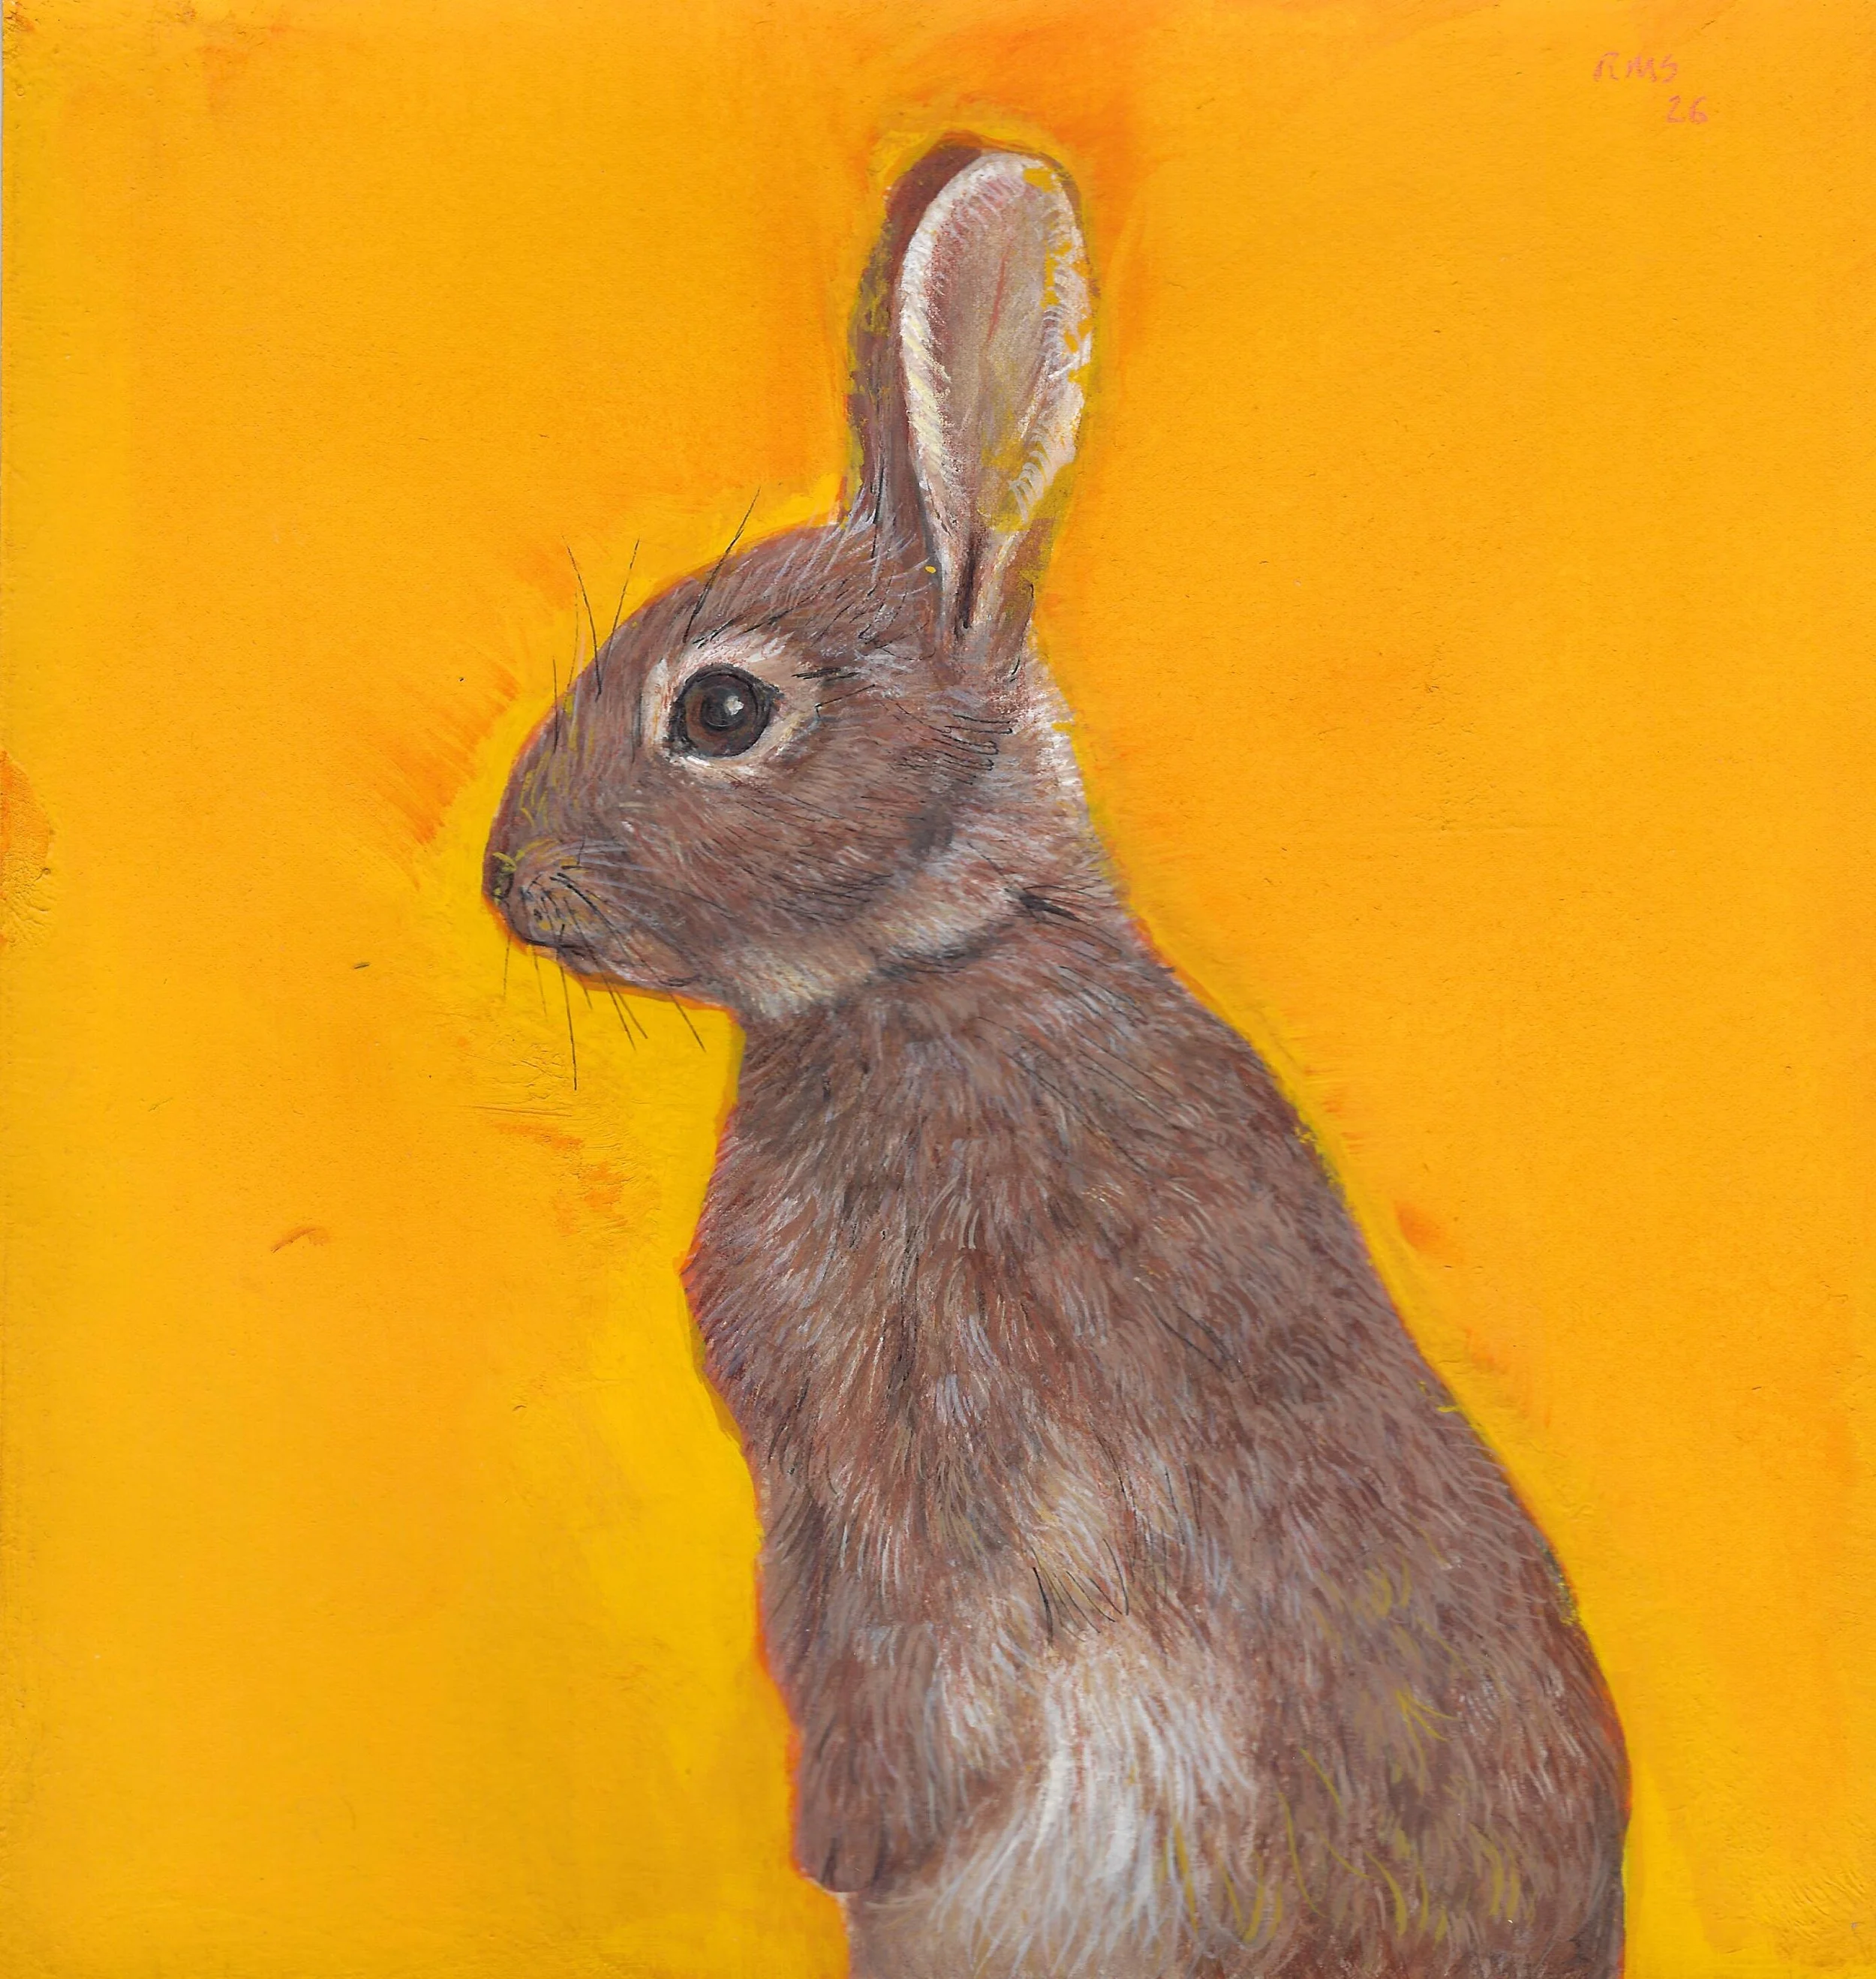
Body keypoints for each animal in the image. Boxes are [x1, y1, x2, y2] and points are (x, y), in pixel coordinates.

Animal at [484, 140, 1628, 1979]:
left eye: (721, 713)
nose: (507, 882)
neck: (941, 950)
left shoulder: (909, 1444)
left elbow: (901, 1664)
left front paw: (842, 1846)